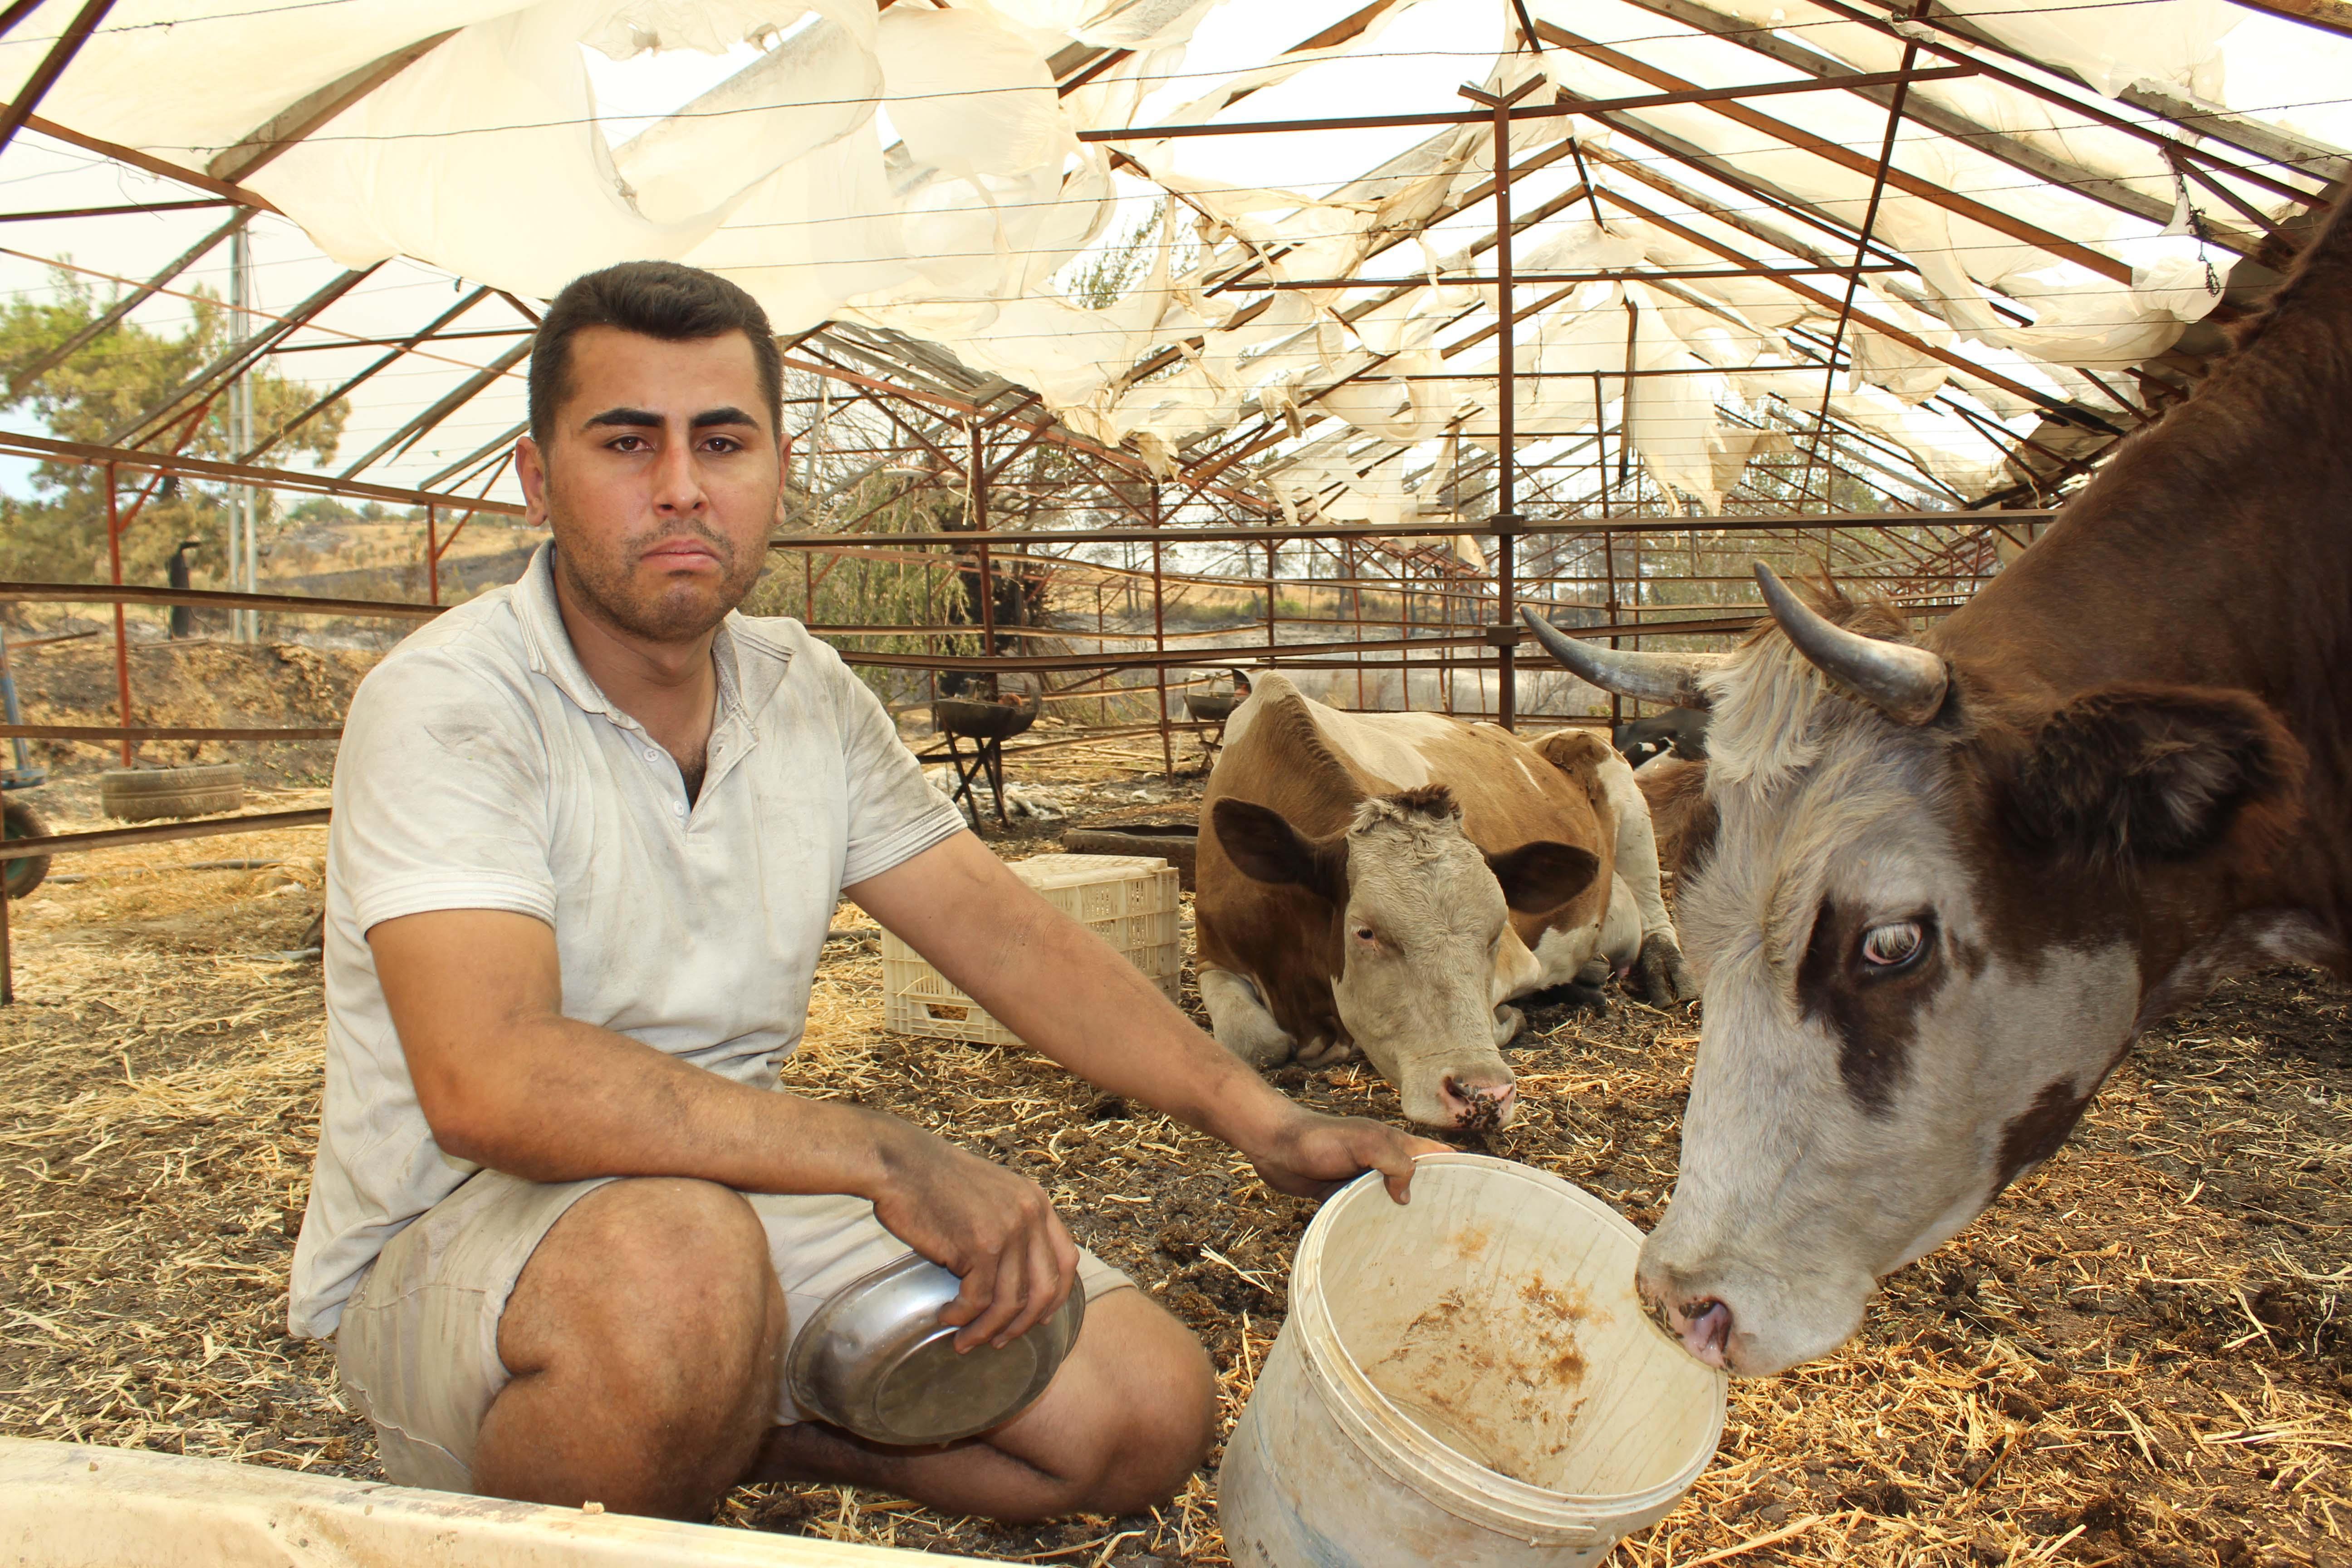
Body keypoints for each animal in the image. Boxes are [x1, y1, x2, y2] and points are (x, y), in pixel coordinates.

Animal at [1195, 672, 1693, 1128]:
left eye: (1496, 932)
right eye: (1366, 933)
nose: (1482, 1094)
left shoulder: (1520, 962)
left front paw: (1509, 1018)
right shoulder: (1212, 955)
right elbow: (1254, 1041)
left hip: (1626, 793)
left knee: (1654, 906)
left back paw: (1662, 969)